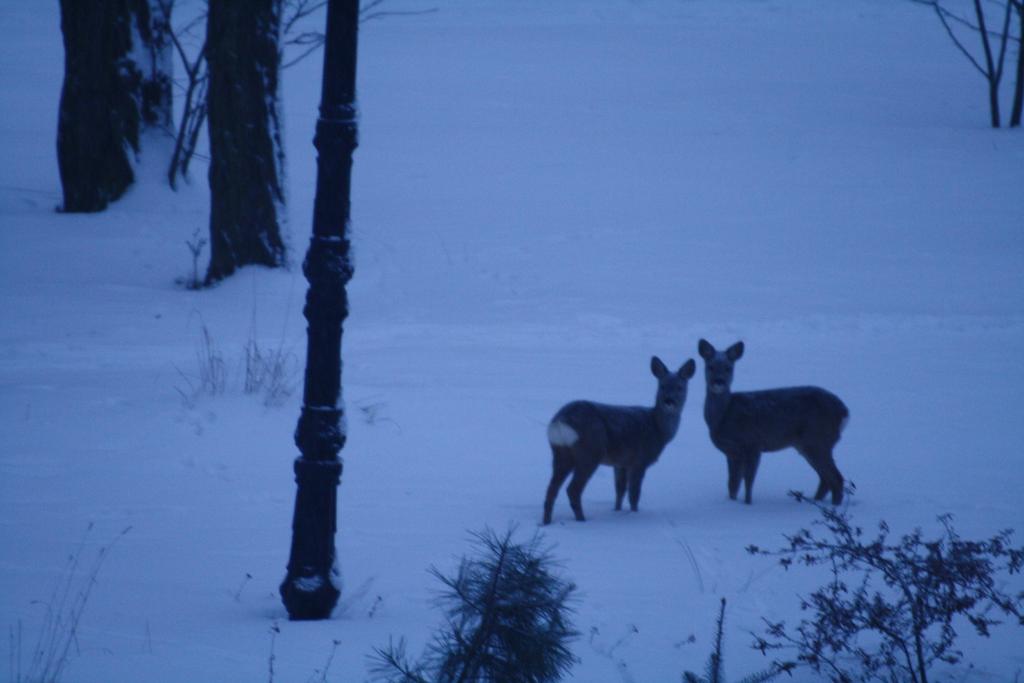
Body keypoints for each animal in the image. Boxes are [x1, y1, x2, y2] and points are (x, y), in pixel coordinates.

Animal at [540, 358, 700, 524]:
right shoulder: (639, 460)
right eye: (662, 386)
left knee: (552, 489)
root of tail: (560, 421)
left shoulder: (621, 462)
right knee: (573, 489)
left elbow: (620, 490)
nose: (669, 401)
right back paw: (582, 520)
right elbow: (634, 494)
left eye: (680, 387)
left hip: (560, 452)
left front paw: (616, 511)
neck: (657, 429)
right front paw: (634, 514)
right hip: (590, 451)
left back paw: (547, 522)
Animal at [696, 339, 847, 505]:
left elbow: (748, 482)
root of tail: (844, 411)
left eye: (728, 368)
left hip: (818, 440)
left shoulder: (753, 444)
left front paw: (747, 505)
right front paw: (733, 503)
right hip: (808, 445)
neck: (724, 418)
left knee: (836, 479)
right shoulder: (731, 452)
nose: (719, 382)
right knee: (826, 480)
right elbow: (732, 485)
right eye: (710, 367)